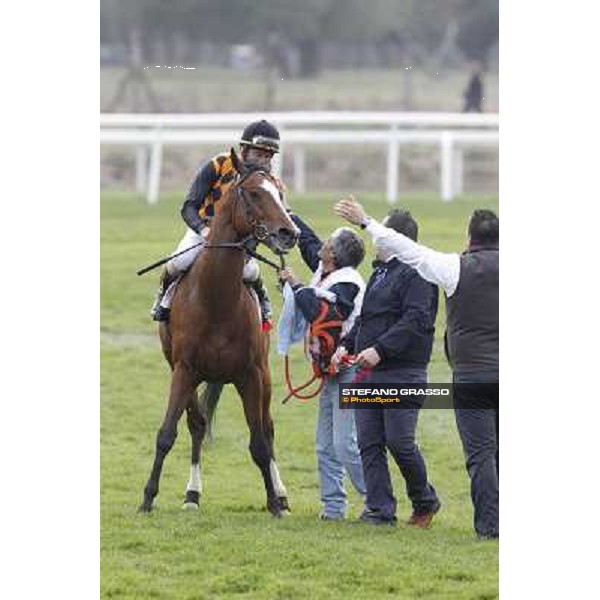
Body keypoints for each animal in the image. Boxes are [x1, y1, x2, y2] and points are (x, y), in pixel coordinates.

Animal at [138, 150, 298, 516]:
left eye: (280, 193)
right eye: (254, 194)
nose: (289, 233)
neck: (216, 301)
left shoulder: (250, 374)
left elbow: (259, 442)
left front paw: (274, 502)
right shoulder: (183, 370)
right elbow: (167, 434)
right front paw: (148, 498)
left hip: (265, 375)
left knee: (268, 428)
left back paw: (281, 494)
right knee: (197, 426)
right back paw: (192, 494)